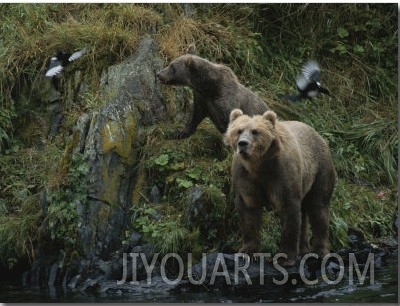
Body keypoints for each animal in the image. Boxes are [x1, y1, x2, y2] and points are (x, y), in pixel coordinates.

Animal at [223, 109, 336, 266]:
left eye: (255, 131)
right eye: (238, 130)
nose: (243, 143)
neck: (259, 165)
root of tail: (317, 133)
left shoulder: (281, 173)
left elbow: (289, 210)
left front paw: (284, 257)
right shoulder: (244, 176)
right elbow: (248, 210)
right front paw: (247, 251)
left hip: (320, 169)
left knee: (318, 207)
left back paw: (320, 251)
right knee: (305, 212)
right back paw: (303, 249)